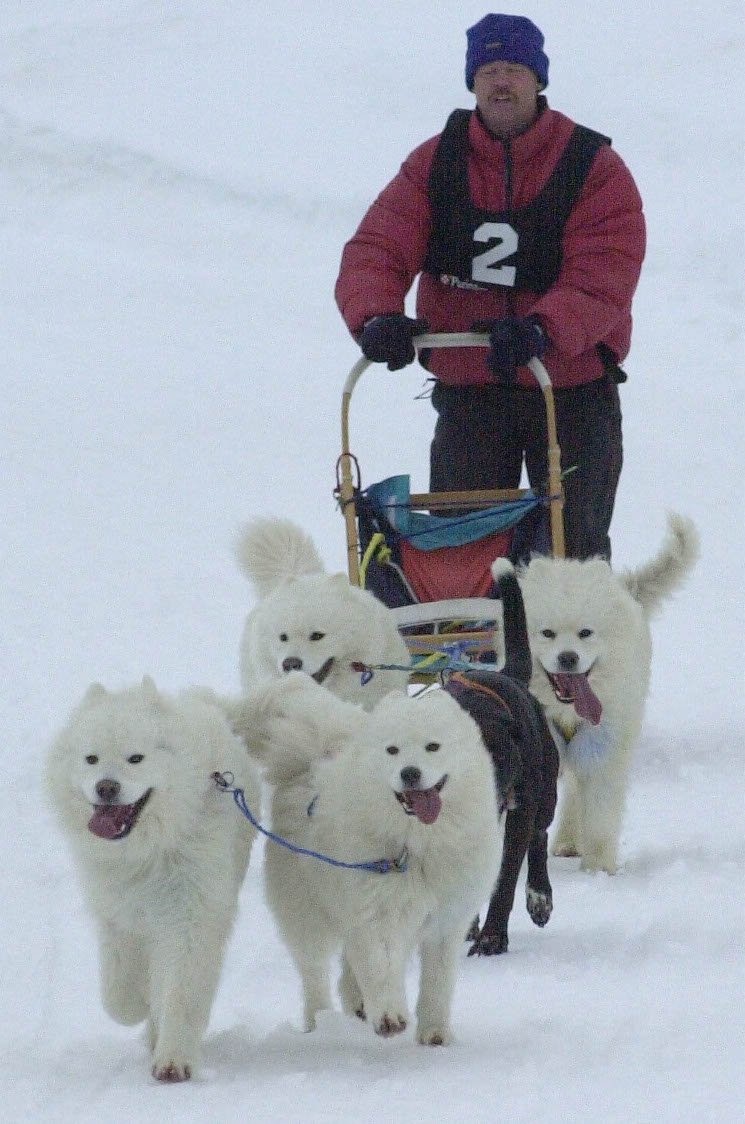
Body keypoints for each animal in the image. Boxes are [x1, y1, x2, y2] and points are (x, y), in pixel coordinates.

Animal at [45, 674, 259, 1079]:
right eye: (91, 758)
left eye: (136, 758)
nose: (106, 787)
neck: (146, 851)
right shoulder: (118, 917)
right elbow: (116, 995)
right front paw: (138, 1007)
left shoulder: (190, 916)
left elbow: (177, 991)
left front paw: (173, 1061)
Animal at [230, 665, 503, 1043]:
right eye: (392, 750)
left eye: (433, 747)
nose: (410, 773)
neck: (415, 847)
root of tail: (314, 758)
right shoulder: (375, 912)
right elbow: (379, 967)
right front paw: (389, 1016)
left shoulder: (447, 920)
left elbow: (437, 982)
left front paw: (434, 1032)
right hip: (307, 911)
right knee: (314, 972)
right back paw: (319, 1021)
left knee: (346, 964)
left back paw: (356, 1005)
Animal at [442, 566, 559, 953]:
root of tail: (507, 674)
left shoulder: (519, 813)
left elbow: (505, 878)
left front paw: (493, 937)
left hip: (544, 795)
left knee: (540, 835)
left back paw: (539, 898)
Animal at [494, 514, 701, 872]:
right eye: (547, 633)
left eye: (585, 633)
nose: (568, 658)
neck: (566, 711)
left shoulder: (603, 747)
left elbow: (600, 815)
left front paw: (598, 869)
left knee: (576, 794)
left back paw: (570, 842)